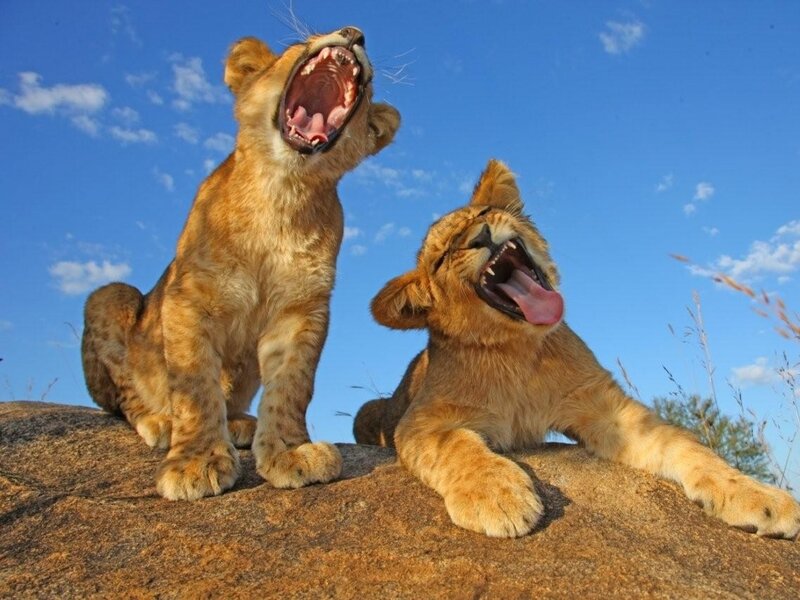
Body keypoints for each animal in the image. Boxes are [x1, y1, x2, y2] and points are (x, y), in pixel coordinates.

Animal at [81, 26, 400, 500]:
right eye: (298, 43)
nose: (354, 33)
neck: (282, 193)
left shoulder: (302, 309)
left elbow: (292, 385)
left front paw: (290, 453)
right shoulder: (188, 297)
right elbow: (194, 384)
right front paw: (195, 462)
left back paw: (239, 425)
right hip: (109, 295)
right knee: (126, 397)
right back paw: (160, 421)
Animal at [353, 159, 800, 539]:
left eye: (483, 215)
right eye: (444, 255)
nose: (481, 236)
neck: (518, 348)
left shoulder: (606, 407)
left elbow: (686, 445)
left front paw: (758, 495)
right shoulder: (420, 421)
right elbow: (456, 446)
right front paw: (496, 496)